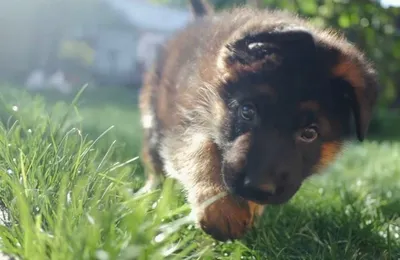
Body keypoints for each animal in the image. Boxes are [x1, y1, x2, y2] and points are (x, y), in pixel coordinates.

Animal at [139, 1, 380, 242]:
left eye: (310, 133)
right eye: (247, 111)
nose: (256, 188)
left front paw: (247, 208)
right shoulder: (187, 120)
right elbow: (201, 150)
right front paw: (220, 206)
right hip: (152, 118)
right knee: (154, 162)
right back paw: (148, 194)